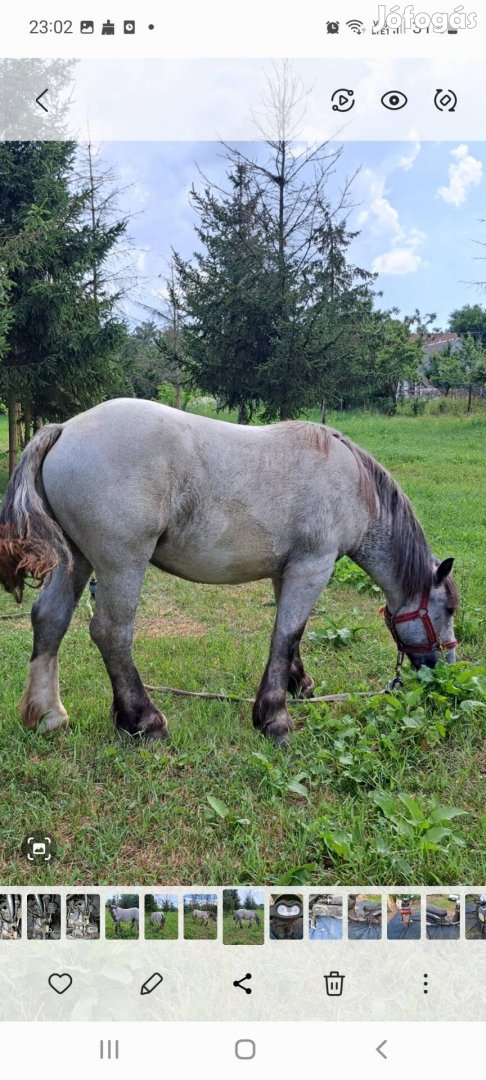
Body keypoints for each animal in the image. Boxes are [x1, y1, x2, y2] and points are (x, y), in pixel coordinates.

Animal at [0, 397, 457, 743]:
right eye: (449, 610)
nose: (446, 669)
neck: (352, 485)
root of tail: (64, 428)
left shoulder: (287, 571)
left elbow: (292, 635)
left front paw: (298, 683)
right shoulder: (313, 568)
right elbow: (286, 634)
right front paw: (274, 718)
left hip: (75, 561)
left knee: (50, 619)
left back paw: (48, 715)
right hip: (121, 564)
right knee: (112, 633)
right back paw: (143, 720)